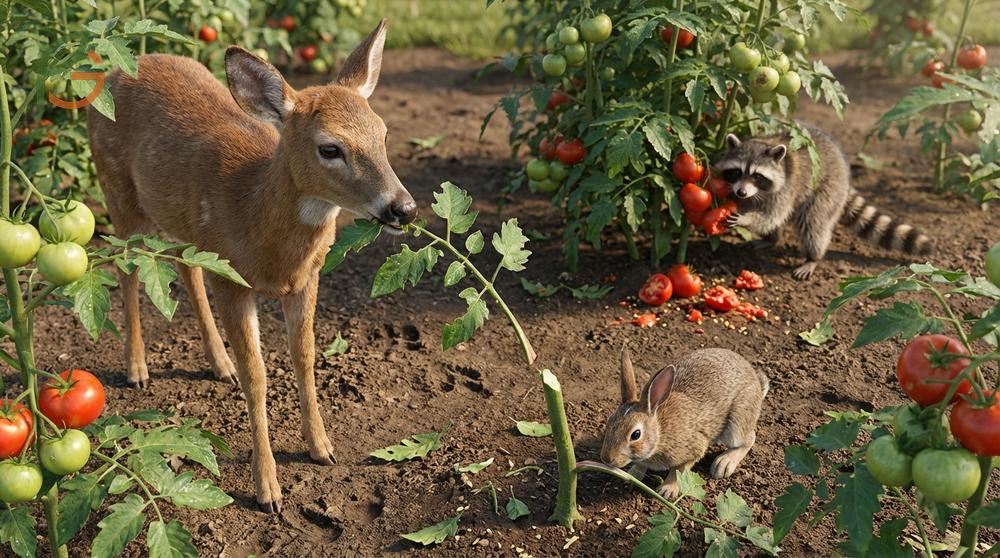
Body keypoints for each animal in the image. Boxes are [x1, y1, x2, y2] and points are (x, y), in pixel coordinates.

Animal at [86, 21, 415, 512]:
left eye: (384, 133)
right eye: (330, 148)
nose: (404, 208)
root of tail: (121, 65)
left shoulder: (308, 277)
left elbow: (305, 355)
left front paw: (322, 447)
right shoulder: (233, 278)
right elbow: (257, 376)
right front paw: (268, 489)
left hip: (184, 227)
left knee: (184, 269)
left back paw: (217, 362)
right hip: (116, 190)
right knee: (127, 269)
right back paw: (137, 369)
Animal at [600, 345, 769, 498]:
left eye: (636, 435)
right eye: (609, 421)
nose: (606, 459)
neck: (660, 432)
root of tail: (756, 382)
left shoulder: (694, 448)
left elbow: (679, 470)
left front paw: (667, 490)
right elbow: (641, 463)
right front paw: (632, 475)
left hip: (737, 423)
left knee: (748, 439)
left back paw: (724, 463)